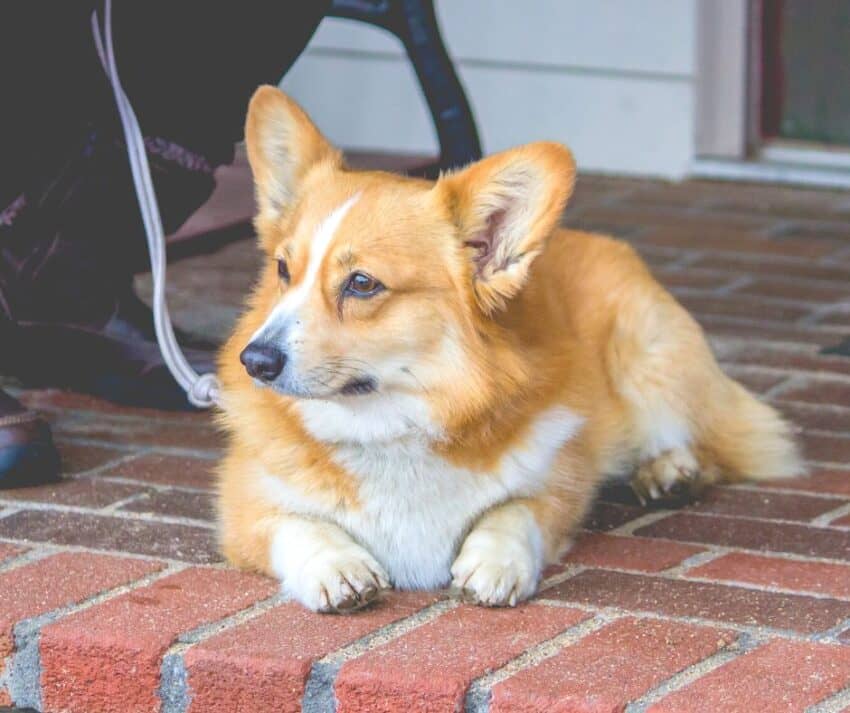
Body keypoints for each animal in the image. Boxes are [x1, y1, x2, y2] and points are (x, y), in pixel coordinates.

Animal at [215, 86, 800, 612]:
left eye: (361, 284)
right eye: (284, 270)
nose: (255, 361)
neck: (391, 424)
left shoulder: (559, 485)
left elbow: (514, 511)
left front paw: (495, 560)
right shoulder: (245, 507)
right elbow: (298, 526)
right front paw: (335, 566)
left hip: (648, 361)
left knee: (695, 437)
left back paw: (669, 471)